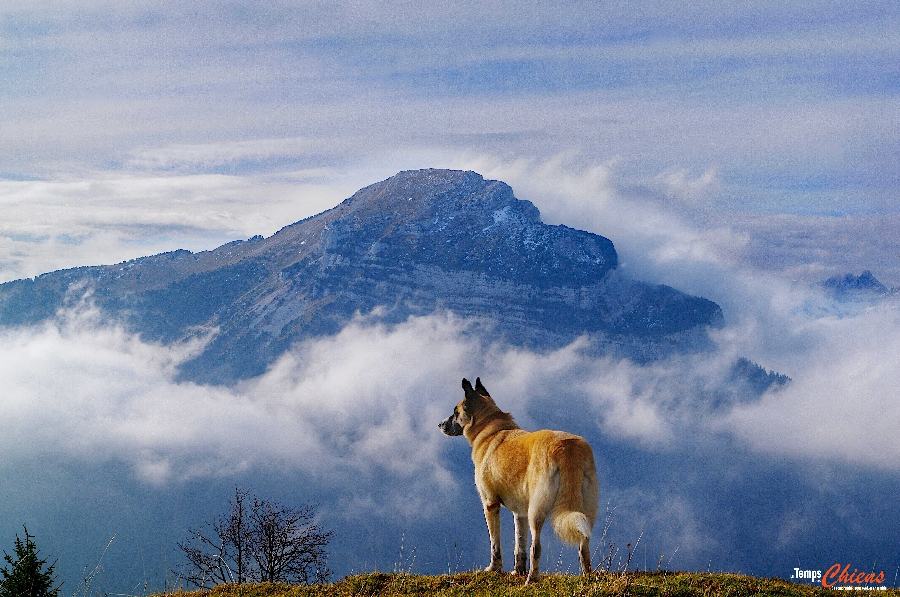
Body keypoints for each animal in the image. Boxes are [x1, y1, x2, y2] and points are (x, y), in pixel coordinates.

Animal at [442, 378, 600, 584]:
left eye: (455, 412)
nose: (440, 424)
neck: (489, 427)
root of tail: (567, 447)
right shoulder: (520, 513)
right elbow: (519, 544)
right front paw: (517, 571)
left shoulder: (490, 504)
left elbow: (495, 544)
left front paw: (494, 568)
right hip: (585, 512)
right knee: (583, 545)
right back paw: (586, 576)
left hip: (537, 510)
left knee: (537, 547)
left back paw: (531, 579)